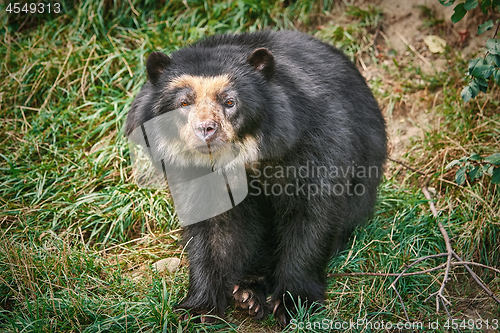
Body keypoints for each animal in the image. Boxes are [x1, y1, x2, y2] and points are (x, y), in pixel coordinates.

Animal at [124, 29, 386, 326]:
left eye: (229, 102)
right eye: (184, 103)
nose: (206, 130)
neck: (239, 158)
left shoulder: (312, 141)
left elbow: (311, 214)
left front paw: (292, 304)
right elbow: (213, 228)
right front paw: (198, 309)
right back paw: (248, 295)